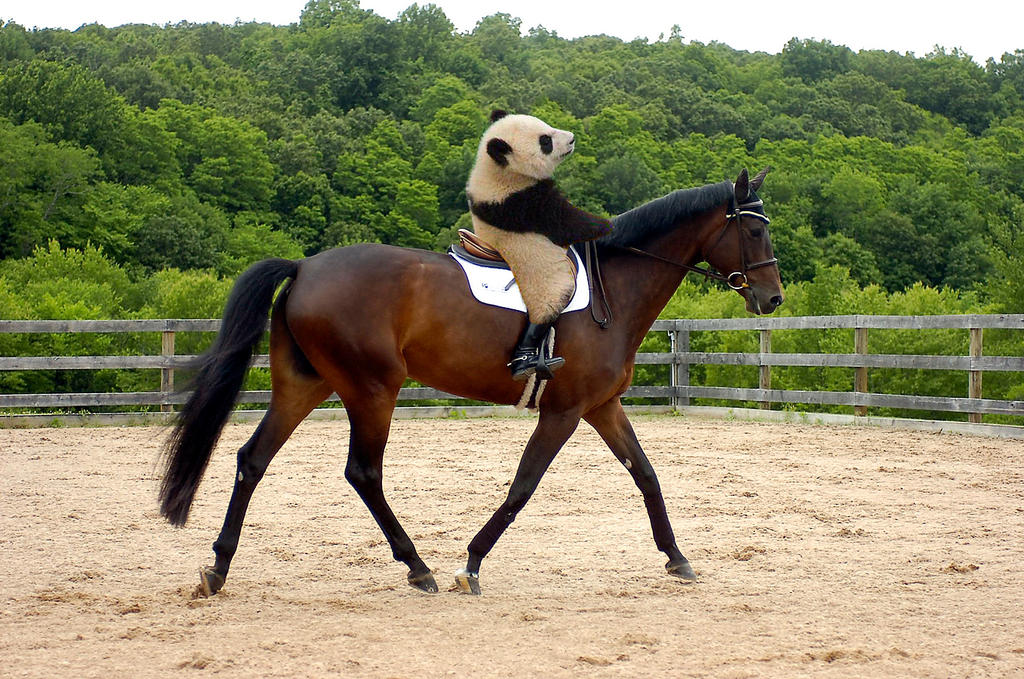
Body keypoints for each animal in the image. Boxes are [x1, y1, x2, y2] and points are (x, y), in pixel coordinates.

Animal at [159, 168, 783, 596]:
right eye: (753, 232)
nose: (772, 298)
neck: (615, 291)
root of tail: (305, 266)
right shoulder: (565, 411)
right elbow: (523, 486)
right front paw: (471, 563)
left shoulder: (601, 405)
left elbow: (646, 475)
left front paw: (677, 558)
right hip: (372, 389)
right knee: (363, 472)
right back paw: (419, 568)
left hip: (306, 386)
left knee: (252, 459)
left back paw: (218, 567)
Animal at [466, 110, 612, 381]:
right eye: (546, 141)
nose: (572, 138)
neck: (497, 170)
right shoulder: (515, 201)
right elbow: (563, 220)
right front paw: (606, 226)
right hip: (540, 278)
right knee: (548, 304)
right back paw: (525, 361)